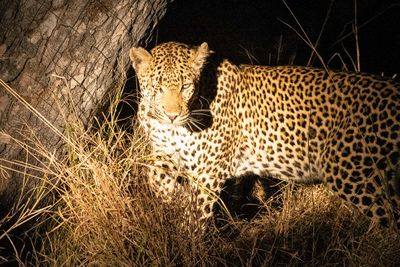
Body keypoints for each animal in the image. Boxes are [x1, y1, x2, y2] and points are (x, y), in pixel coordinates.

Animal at [129, 40, 400, 229]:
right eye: (158, 88)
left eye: (186, 86)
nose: (173, 115)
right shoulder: (165, 151)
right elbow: (153, 174)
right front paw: (172, 197)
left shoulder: (207, 170)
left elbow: (195, 214)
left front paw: (188, 242)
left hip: (355, 174)